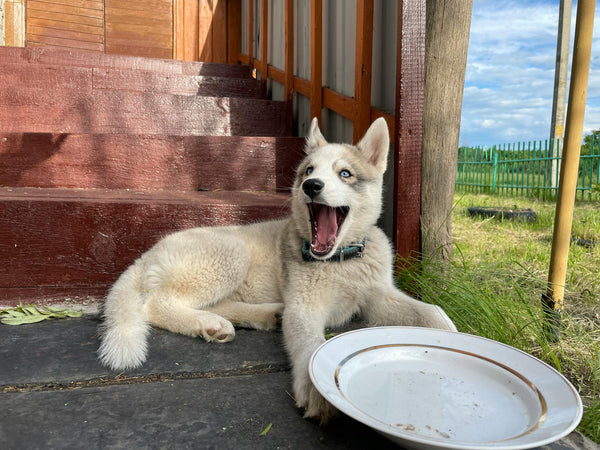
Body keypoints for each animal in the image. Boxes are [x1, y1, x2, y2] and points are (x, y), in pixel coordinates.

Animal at [97, 118, 454, 424]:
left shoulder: (377, 296)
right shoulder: (305, 306)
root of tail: (146, 255)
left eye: (346, 174)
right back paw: (207, 323)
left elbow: (431, 312)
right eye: (308, 170)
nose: (311, 186)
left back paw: (254, 317)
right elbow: (310, 344)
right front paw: (315, 387)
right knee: (155, 305)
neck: (342, 262)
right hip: (230, 254)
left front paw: (452, 338)